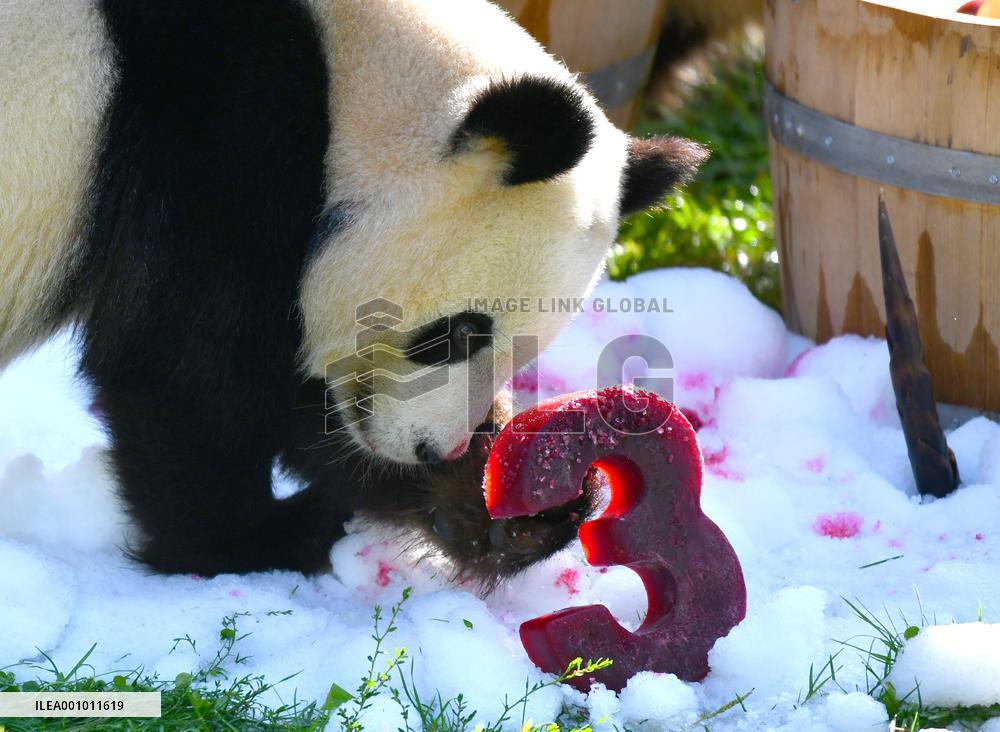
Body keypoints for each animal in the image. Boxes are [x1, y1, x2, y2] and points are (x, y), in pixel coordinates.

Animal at [0, 0, 705, 585]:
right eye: (459, 333)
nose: (434, 447)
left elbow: (305, 403)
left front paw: (510, 502)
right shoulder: (217, 137)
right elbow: (184, 368)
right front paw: (253, 541)